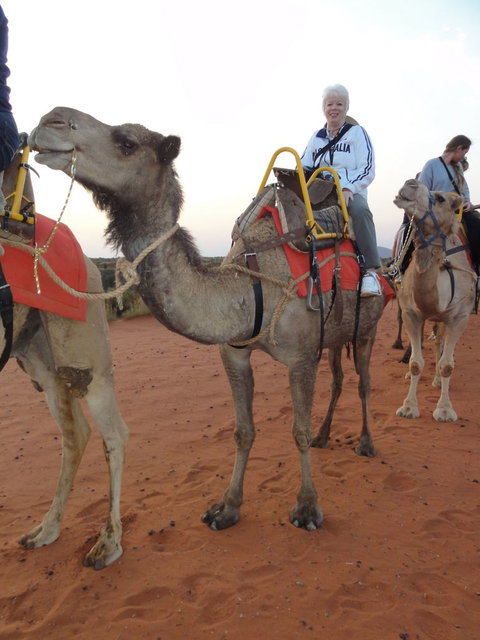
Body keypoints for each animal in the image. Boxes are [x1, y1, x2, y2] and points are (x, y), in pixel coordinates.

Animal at [0, 143, 129, 569]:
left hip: (85, 351)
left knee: (112, 433)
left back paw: (107, 543)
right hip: (39, 359)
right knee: (76, 434)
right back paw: (45, 530)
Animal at [29, 107, 387, 532]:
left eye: (127, 143)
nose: (49, 120)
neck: (249, 286)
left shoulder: (300, 357)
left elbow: (297, 431)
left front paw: (306, 508)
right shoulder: (233, 352)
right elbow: (242, 431)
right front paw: (226, 507)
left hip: (368, 328)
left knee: (364, 382)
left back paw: (365, 442)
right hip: (333, 335)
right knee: (338, 379)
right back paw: (325, 435)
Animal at [393, 179, 476, 421]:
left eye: (440, 198)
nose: (409, 183)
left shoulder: (460, 316)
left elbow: (448, 365)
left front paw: (445, 410)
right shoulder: (411, 312)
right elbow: (415, 363)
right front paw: (409, 407)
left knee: (441, 342)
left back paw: (438, 380)